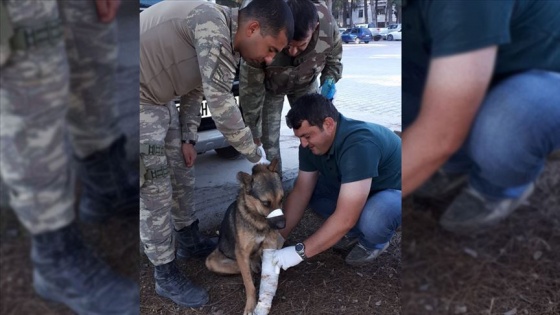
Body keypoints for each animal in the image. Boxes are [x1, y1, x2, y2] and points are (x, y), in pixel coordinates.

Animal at [206, 160, 284, 315]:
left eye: (282, 199)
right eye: (265, 203)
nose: (282, 225)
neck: (258, 221)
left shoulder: (270, 245)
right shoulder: (241, 253)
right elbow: (249, 285)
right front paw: (250, 305)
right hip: (214, 261)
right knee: (245, 270)